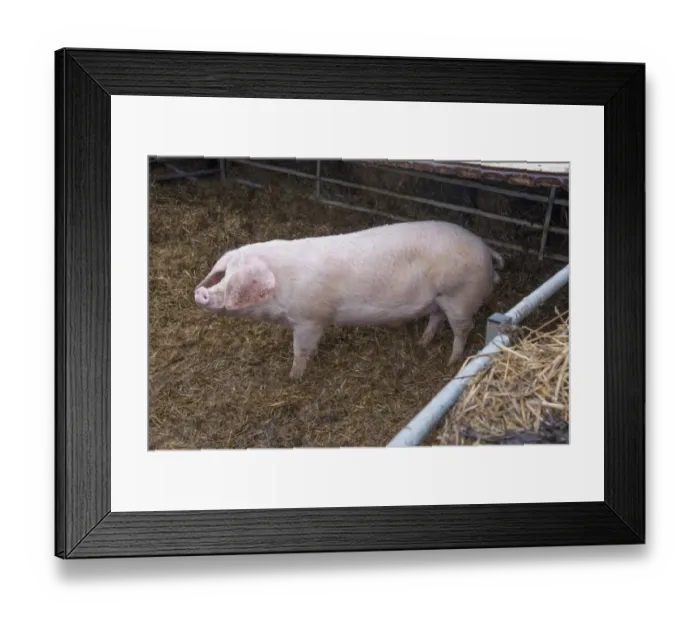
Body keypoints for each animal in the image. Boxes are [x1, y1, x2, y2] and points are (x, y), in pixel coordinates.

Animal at [193, 220, 504, 379]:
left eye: (237, 279)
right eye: (224, 273)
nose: (200, 292)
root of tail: (485, 248)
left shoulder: (310, 319)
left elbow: (300, 351)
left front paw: (293, 377)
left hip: (460, 296)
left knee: (463, 330)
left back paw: (452, 363)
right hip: (439, 298)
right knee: (437, 317)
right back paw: (423, 343)